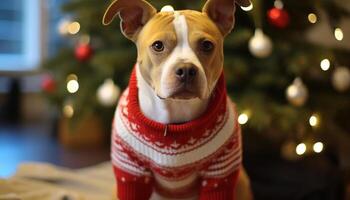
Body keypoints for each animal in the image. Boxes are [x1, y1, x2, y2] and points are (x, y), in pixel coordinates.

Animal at [102, 0, 253, 198]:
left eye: (207, 45)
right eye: (158, 46)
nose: (186, 70)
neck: (175, 110)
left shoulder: (220, 176)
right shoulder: (131, 174)